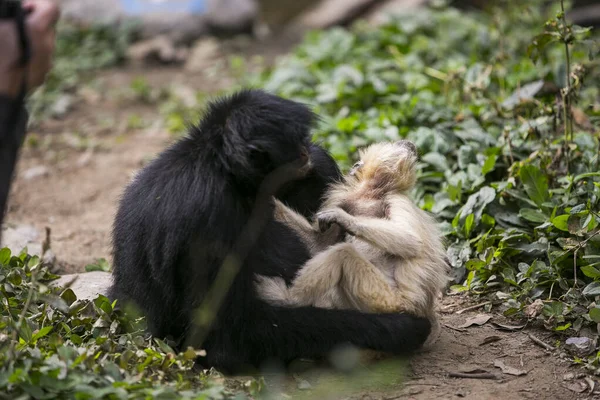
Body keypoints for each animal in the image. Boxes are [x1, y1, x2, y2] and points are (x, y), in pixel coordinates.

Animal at [105, 89, 428, 374]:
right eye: (296, 148)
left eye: (302, 141)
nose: (305, 151)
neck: (217, 169)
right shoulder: (206, 213)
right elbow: (226, 344)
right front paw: (403, 329)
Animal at [255, 139, 448, 332]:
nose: (408, 143)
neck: (369, 196)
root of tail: (418, 308)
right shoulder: (346, 201)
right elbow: (318, 244)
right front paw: (266, 199)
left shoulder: (395, 198)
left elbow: (411, 241)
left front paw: (342, 218)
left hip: (387, 300)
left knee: (342, 254)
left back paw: (289, 298)